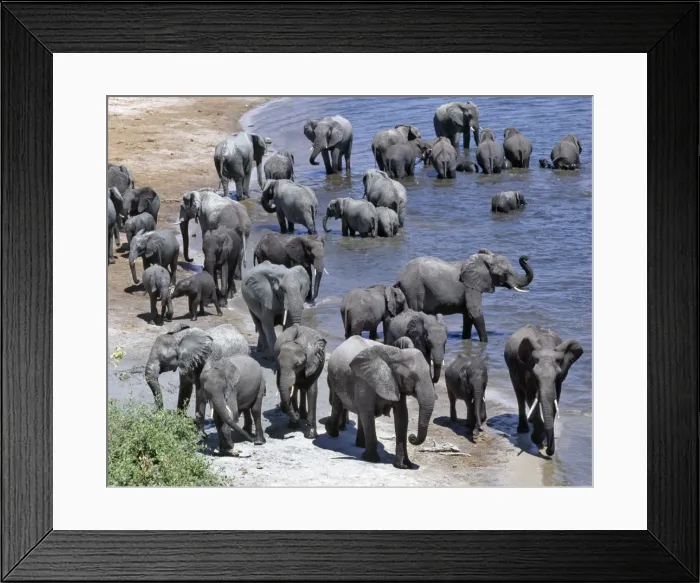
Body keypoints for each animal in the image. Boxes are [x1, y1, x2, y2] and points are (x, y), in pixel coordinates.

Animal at [325, 337, 437, 468]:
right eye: (411, 377)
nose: (412, 437)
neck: (396, 354)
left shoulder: (396, 382)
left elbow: (402, 416)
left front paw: (404, 465)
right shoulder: (364, 381)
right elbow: (367, 412)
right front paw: (371, 459)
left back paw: (361, 445)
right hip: (333, 379)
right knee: (338, 404)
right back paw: (331, 431)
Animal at [395, 249, 534, 342]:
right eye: (505, 274)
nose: (525, 257)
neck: (484, 261)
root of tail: (400, 277)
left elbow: (468, 316)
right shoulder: (470, 288)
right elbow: (475, 312)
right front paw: (485, 342)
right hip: (414, 290)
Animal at [504, 324, 584, 456]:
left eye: (557, 376)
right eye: (535, 376)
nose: (548, 451)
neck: (546, 346)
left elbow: (554, 399)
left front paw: (544, 441)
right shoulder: (527, 370)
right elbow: (531, 397)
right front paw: (537, 439)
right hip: (511, 369)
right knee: (519, 394)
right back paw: (523, 429)